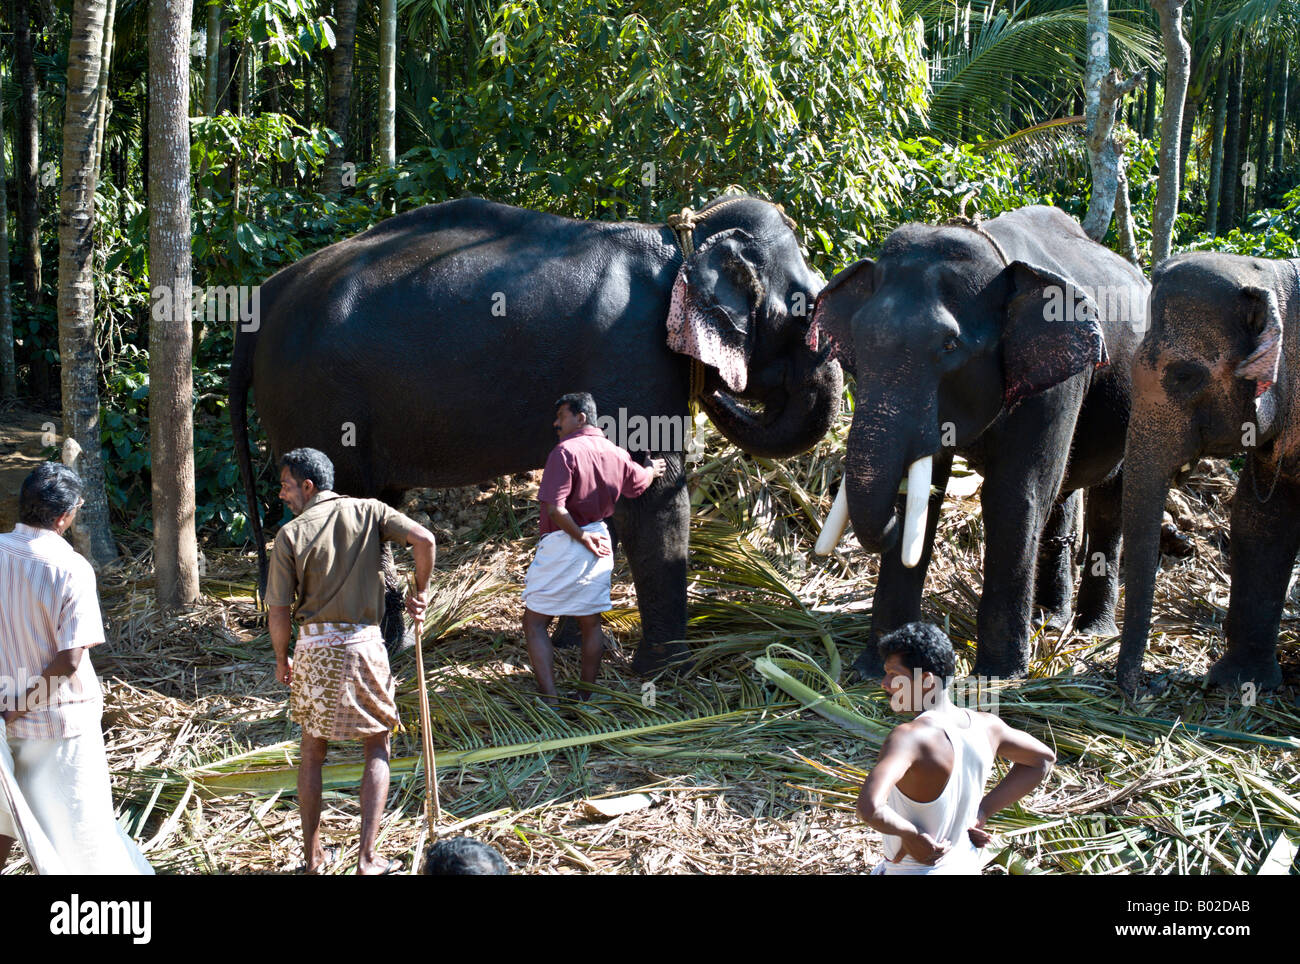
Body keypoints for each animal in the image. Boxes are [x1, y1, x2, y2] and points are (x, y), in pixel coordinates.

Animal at [232, 194, 843, 673]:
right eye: (807, 311)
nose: (712, 385)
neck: (679, 247)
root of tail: (264, 297)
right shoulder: (633, 359)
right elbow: (652, 490)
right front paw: (664, 671)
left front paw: (580, 642)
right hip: (317, 402)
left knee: (377, 505)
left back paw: (393, 644)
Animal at [810, 206, 1147, 679]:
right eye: (857, 338)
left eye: (950, 345)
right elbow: (924, 495)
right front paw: (875, 670)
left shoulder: (1056, 384)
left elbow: (1013, 497)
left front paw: (1000, 677)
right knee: (1061, 499)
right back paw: (1048, 621)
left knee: (1109, 503)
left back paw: (1090, 633)